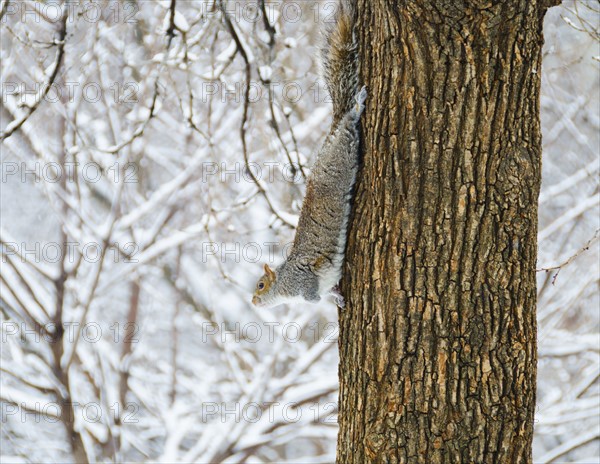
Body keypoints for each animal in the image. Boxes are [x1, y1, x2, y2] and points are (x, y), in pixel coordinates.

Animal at [250, 0, 364, 310]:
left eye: (261, 284)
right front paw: (337, 299)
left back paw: (358, 105)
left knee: (349, 123)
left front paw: (323, 300)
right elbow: (329, 292)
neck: (285, 284)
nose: (253, 301)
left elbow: (313, 295)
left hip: (342, 159)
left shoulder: (305, 281)